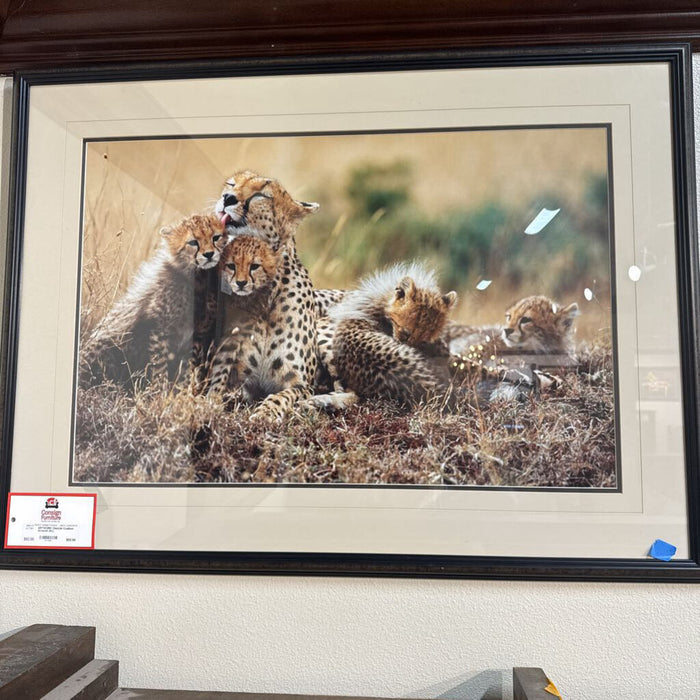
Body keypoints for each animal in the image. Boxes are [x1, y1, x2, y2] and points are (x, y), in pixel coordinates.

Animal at [79, 213, 227, 388]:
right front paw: (159, 391)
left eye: (216, 237)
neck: (197, 279)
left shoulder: (192, 338)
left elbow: (184, 371)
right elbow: (160, 366)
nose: (209, 254)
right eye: (193, 242)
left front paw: (180, 391)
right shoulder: (160, 330)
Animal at [208, 171, 320, 420]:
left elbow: (282, 396)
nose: (227, 198)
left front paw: (265, 413)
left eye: (261, 195)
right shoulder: (233, 377)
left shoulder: (301, 385)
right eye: (232, 184)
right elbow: (219, 392)